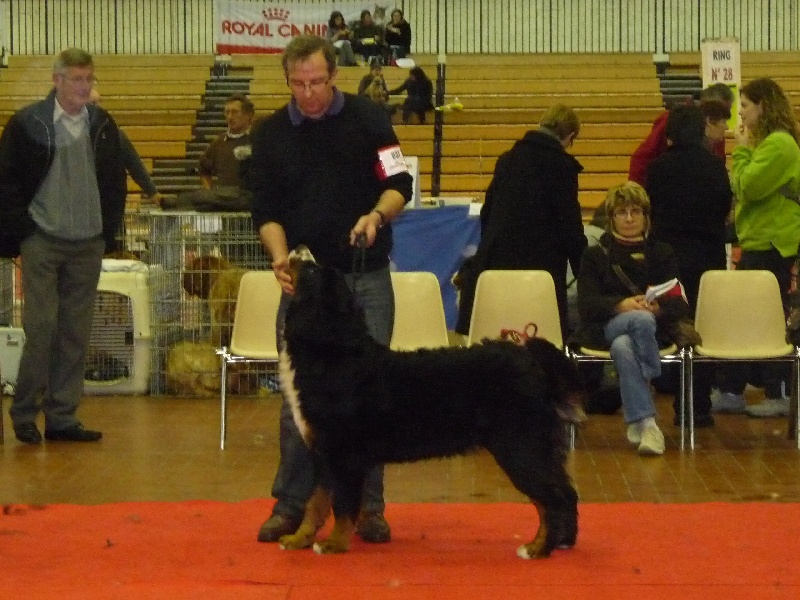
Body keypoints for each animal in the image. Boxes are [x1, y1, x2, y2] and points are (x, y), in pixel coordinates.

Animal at [278, 247, 584, 556]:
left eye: (312, 270)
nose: (300, 248)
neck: (332, 352)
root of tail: (530, 360)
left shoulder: (343, 455)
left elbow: (341, 507)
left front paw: (334, 544)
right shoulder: (323, 453)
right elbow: (315, 503)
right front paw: (298, 539)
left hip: (521, 448)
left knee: (553, 497)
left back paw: (538, 548)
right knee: (562, 494)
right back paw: (560, 541)